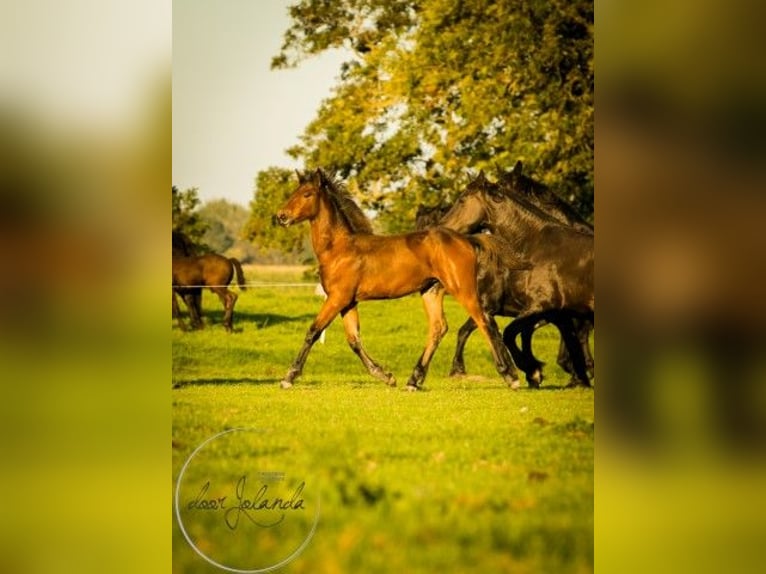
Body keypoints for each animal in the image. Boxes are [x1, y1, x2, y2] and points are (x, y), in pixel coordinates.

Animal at [276, 166, 520, 392]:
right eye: (295, 191)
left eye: (307, 194)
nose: (281, 216)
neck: (339, 248)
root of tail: (468, 241)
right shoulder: (348, 302)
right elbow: (354, 339)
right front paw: (386, 376)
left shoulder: (337, 298)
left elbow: (313, 331)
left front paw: (289, 377)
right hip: (431, 291)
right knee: (438, 328)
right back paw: (413, 381)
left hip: (463, 290)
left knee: (484, 321)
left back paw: (510, 376)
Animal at [440, 171, 596, 388]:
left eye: (462, 200)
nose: (440, 227)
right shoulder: (554, 314)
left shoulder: (538, 308)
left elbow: (508, 333)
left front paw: (531, 372)